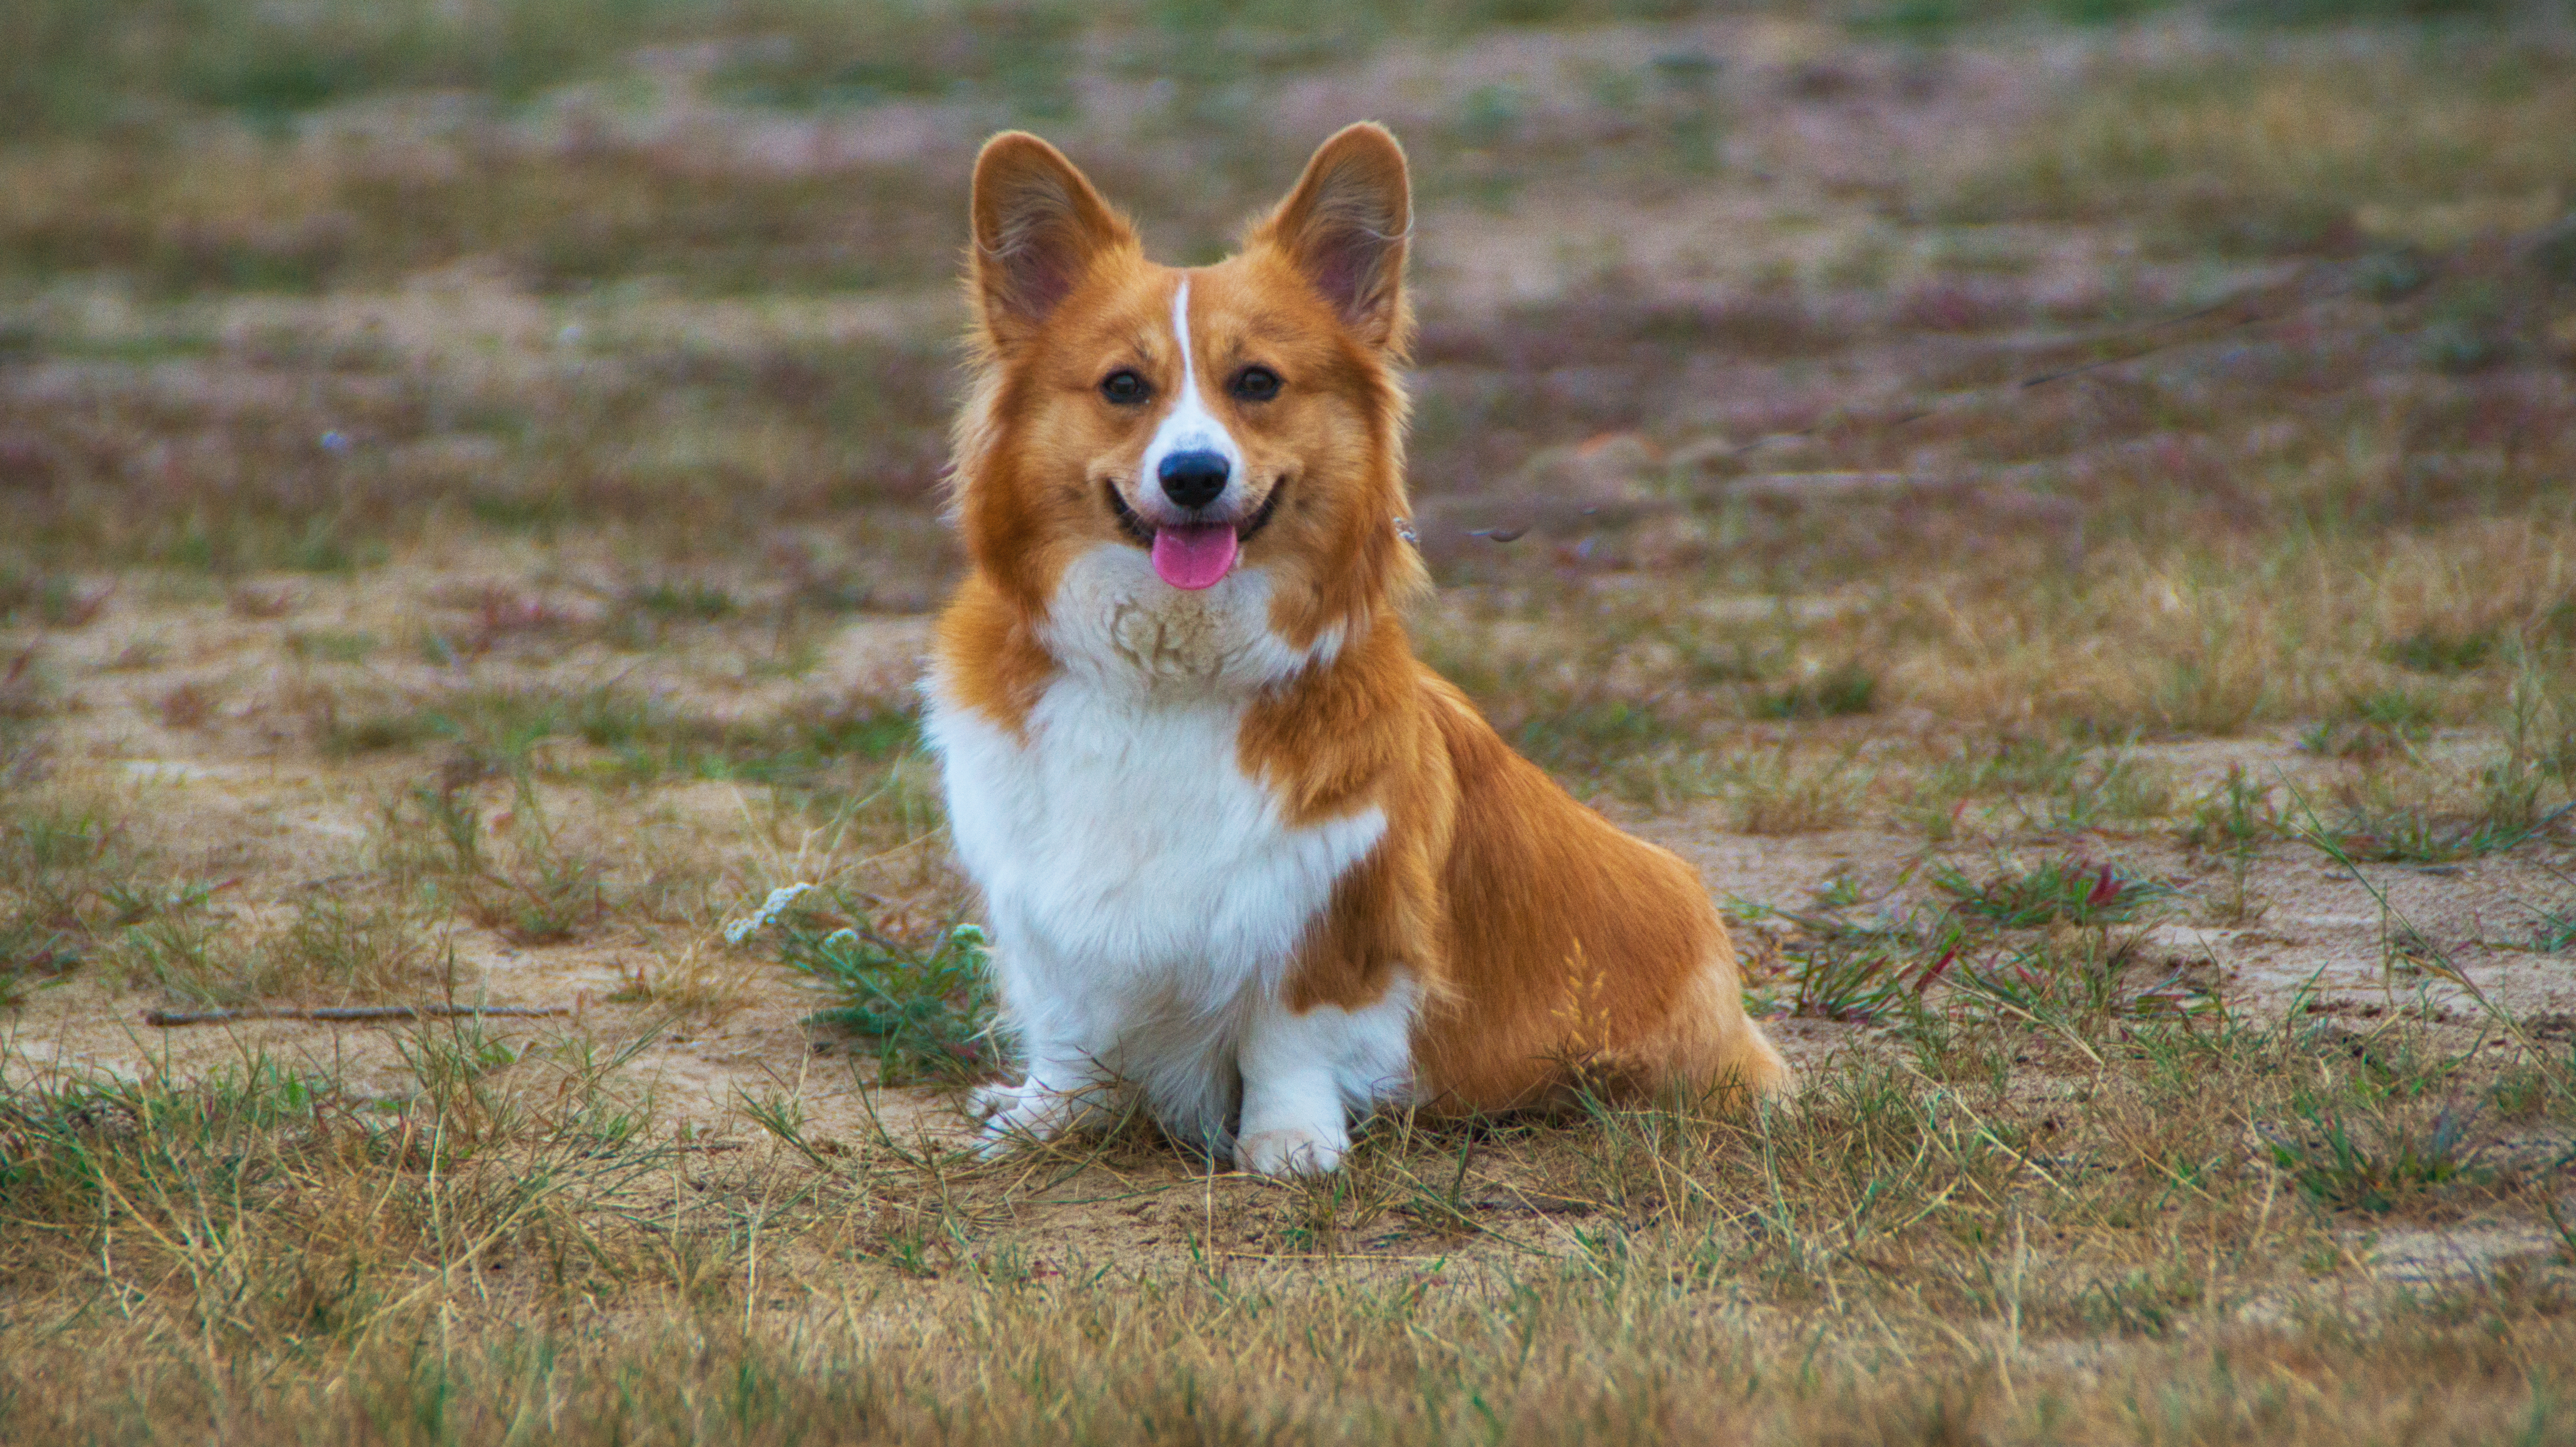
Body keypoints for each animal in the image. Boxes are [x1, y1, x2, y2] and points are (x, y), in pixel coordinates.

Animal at [927, 118, 1793, 1164]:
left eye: (1257, 382)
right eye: (1123, 387)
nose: (1192, 474)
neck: (1170, 671)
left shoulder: (1332, 907)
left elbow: (1288, 1034)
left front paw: (1289, 1144)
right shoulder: (1043, 906)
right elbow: (1068, 1028)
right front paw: (1041, 1117)